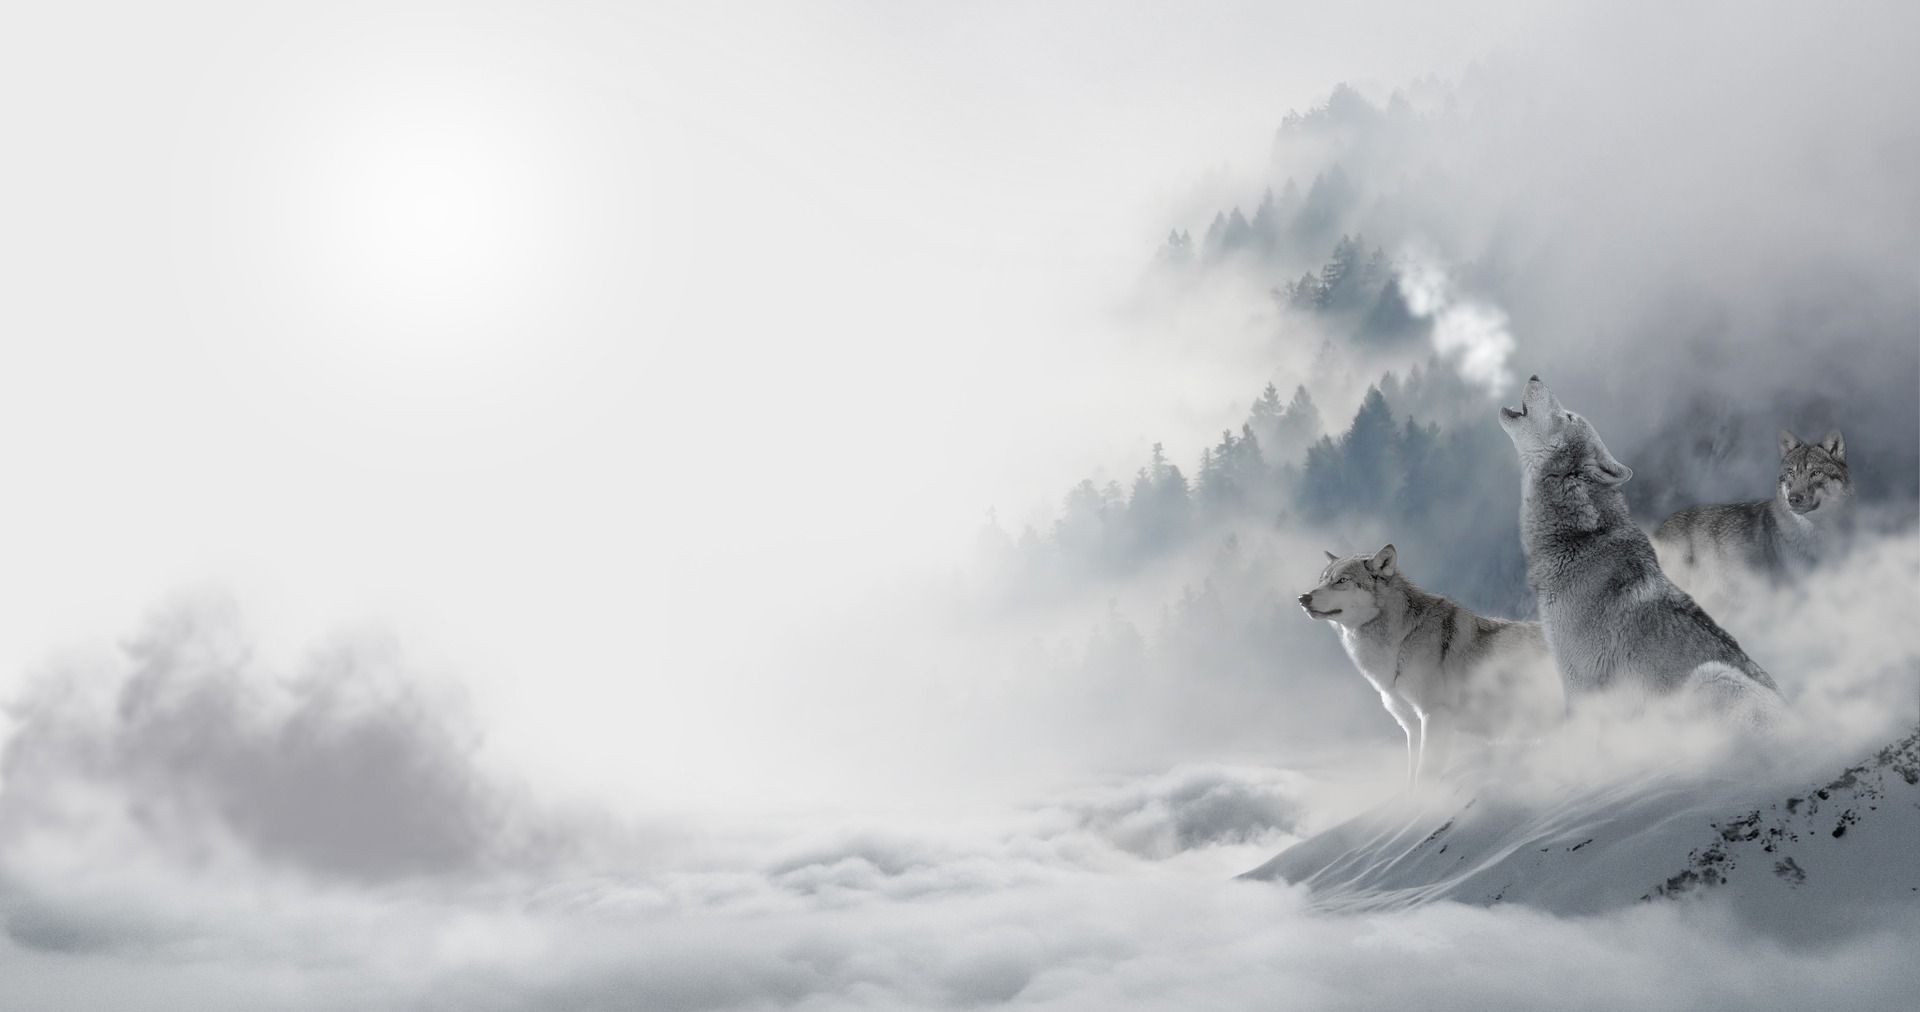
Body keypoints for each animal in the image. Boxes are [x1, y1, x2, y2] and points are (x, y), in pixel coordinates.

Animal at [1299, 544, 1563, 785]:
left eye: (1341, 580)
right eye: (1322, 580)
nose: (1303, 598)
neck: (1401, 642)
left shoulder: (1434, 716)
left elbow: (1425, 776)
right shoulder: (1412, 727)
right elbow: (1411, 778)